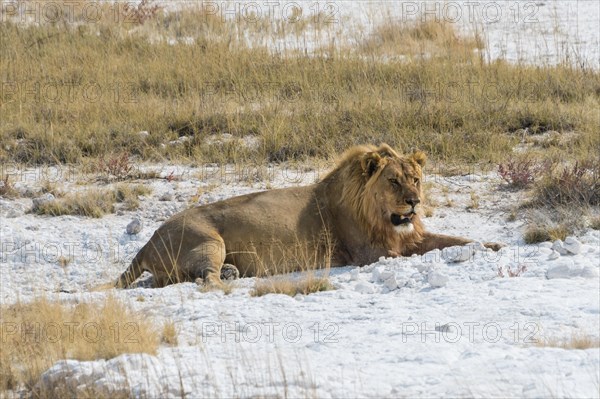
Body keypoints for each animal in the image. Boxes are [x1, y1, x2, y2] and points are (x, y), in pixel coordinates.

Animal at [116, 145, 502, 290]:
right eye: (393, 181)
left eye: (416, 179)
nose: (414, 203)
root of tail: (147, 242)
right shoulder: (373, 253)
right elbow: (428, 250)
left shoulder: (409, 234)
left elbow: (453, 239)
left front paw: (492, 245)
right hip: (209, 240)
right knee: (204, 280)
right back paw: (228, 282)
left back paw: (232, 273)